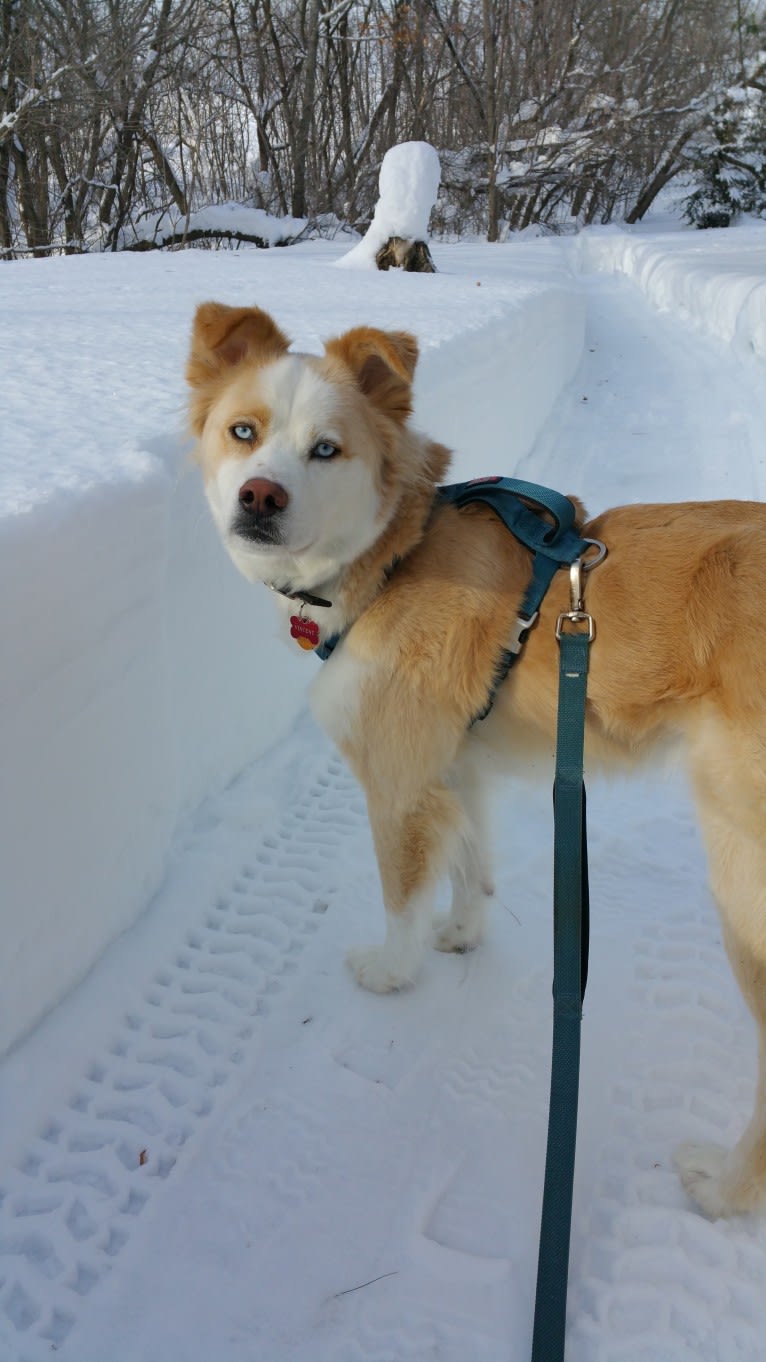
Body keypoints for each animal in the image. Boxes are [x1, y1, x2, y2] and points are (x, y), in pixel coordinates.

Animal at [188, 303, 763, 1220]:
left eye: (327, 449)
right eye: (244, 431)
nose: (259, 497)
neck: (394, 556)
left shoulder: (395, 781)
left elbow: (400, 893)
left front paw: (393, 970)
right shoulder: (454, 765)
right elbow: (470, 862)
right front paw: (461, 932)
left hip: (744, 871)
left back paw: (727, 1188)